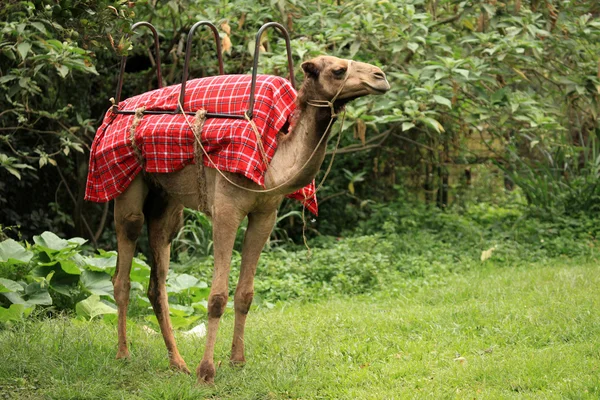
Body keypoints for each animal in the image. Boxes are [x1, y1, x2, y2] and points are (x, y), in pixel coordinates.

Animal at [111, 54, 394, 382]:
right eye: (338, 70)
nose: (380, 76)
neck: (272, 164)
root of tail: (115, 112)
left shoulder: (265, 214)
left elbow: (245, 294)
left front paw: (237, 360)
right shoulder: (226, 211)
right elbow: (217, 297)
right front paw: (206, 372)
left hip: (167, 202)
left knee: (158, 278)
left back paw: (177, 363)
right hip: (127, 188)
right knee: (123, 267)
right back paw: (124, 354)